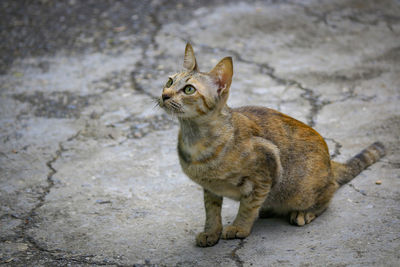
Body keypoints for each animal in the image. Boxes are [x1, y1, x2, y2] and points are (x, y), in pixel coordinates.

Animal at [158, 43, 386, 247]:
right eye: (169, 81)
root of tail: (330, 163)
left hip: (301, 191)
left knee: (329, 191)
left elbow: (248, 206)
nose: (164, 95)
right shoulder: (210, 187)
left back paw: (304, 212)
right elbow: (212, 211)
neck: (195, 139)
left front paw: (239, 227)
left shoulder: (265, 169)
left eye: (189, 89)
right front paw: (211, 232)